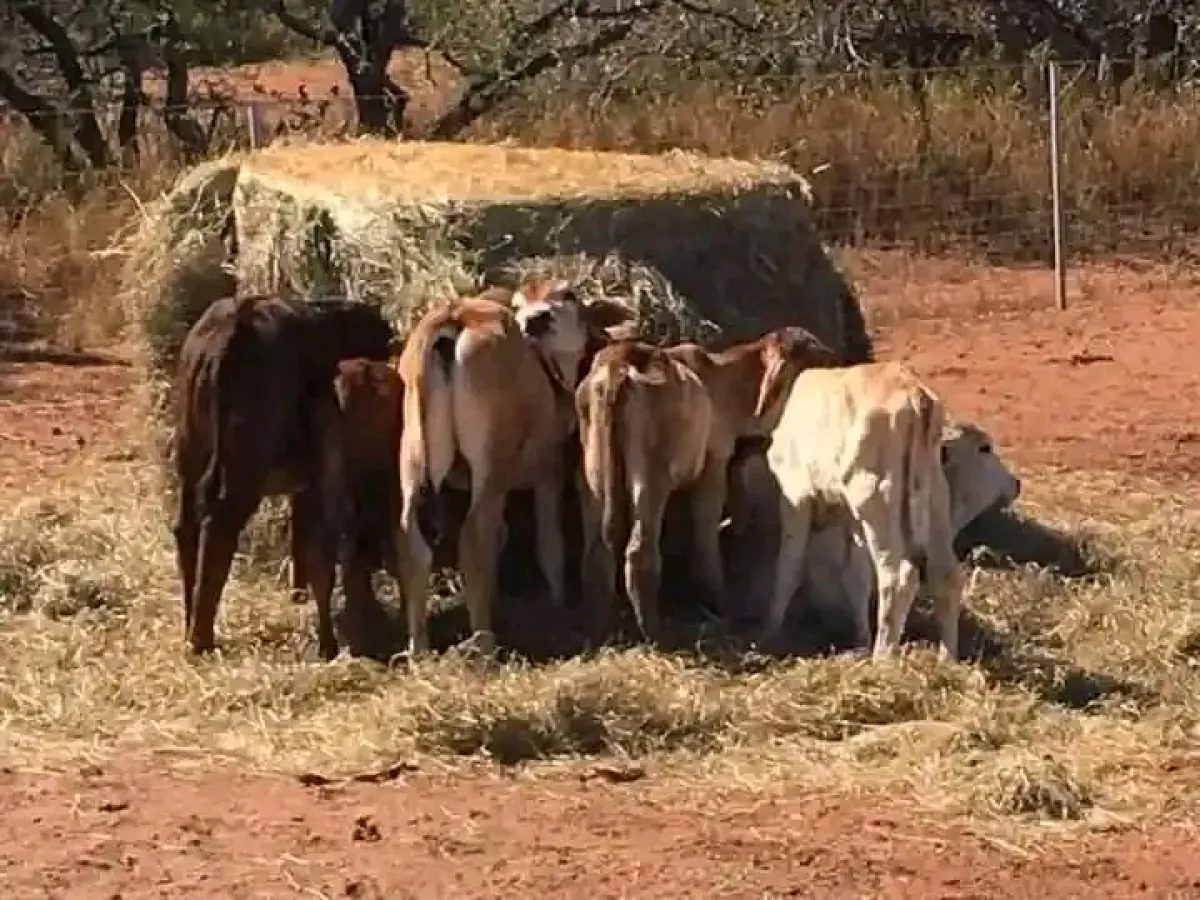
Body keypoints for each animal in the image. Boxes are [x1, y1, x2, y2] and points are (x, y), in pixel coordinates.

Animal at [172, 293, 397, 660]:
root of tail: (240, 321)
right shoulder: (322, 477)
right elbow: (324, 550)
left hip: (190, 450)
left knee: (186, 526)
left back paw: (190, 624)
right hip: (243, 467)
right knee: (219, 523)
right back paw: (202, 637)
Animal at [394, 279, 636, 660]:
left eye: (568, 296)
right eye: (521, 303)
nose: (536, 320)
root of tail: (455, 317)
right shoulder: (548, 471)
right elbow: (550, 543)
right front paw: (557, 605)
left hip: (414, 455)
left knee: (411, 544)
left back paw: (420, 650)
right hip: (491, 465)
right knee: (474, 540)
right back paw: (484, 644)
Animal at [576, 327, 841, 645]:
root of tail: (619, 366)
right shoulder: (713, 466)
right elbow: (705, 534)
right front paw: (718, 600)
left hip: (593, 472)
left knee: (596, 552)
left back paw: (599, 628)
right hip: (652, 477)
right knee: (640, 551)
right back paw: (656, 634)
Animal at [754, 362, 969, 660]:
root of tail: (915, 394)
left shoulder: (796, 497)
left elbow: (789, 566)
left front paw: (769, 631)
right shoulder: (851, 519)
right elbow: (856, 577)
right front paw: (860, 638)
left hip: (877, 500)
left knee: (898, 576)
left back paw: (882, 657)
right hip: (934, 500)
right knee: (947, 576)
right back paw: (946, 659)